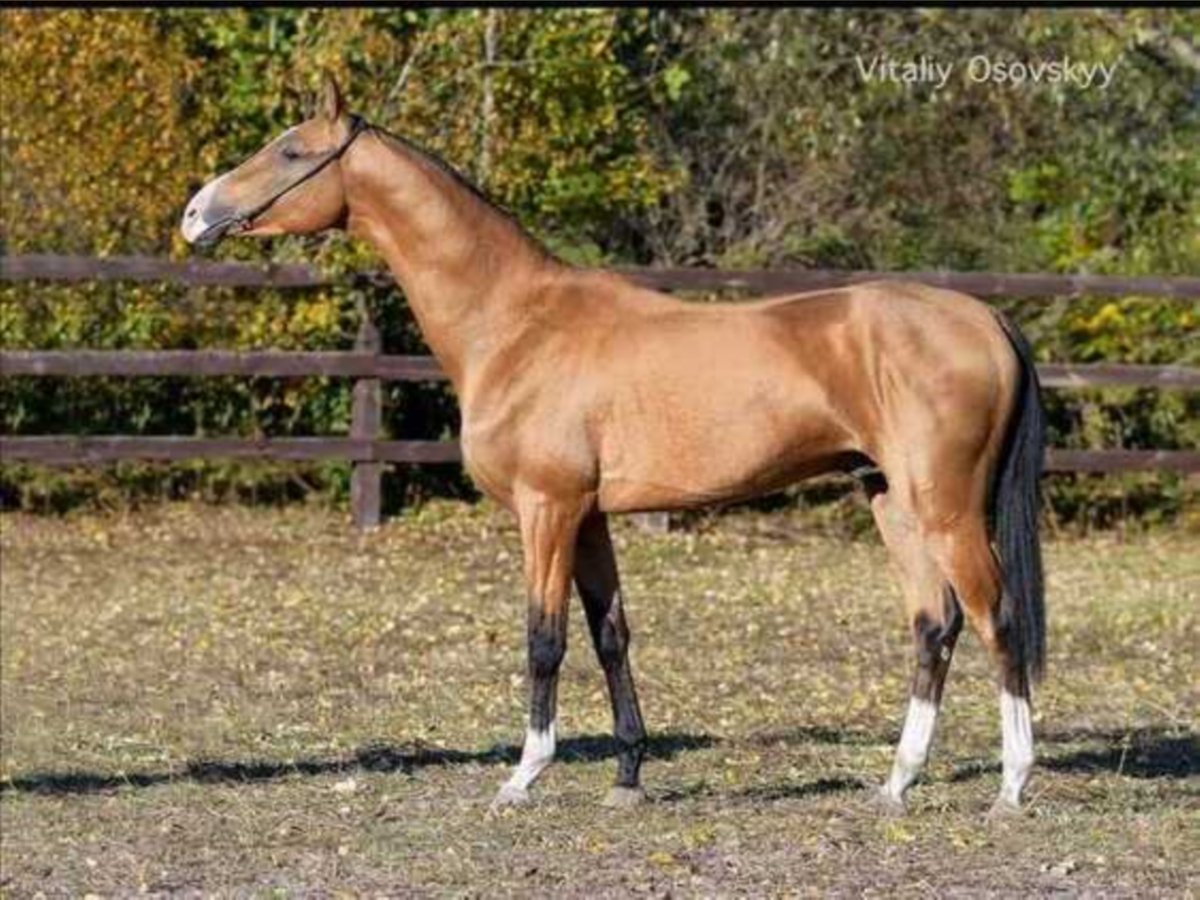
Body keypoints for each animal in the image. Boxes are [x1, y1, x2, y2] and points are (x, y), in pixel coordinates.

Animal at [182, 77, 1046, 816]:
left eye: (291, 151)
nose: (195, 214)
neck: (515, 323)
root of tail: (985, 319)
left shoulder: (546, 509)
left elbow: (545, 638)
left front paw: (523, 776)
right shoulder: (589, 516)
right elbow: (610, 636)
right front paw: (628, 776)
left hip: (945, 509)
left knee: (995, 615)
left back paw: (1011, 786)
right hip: (891, 501)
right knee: (935, 624)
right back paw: (897, 783)